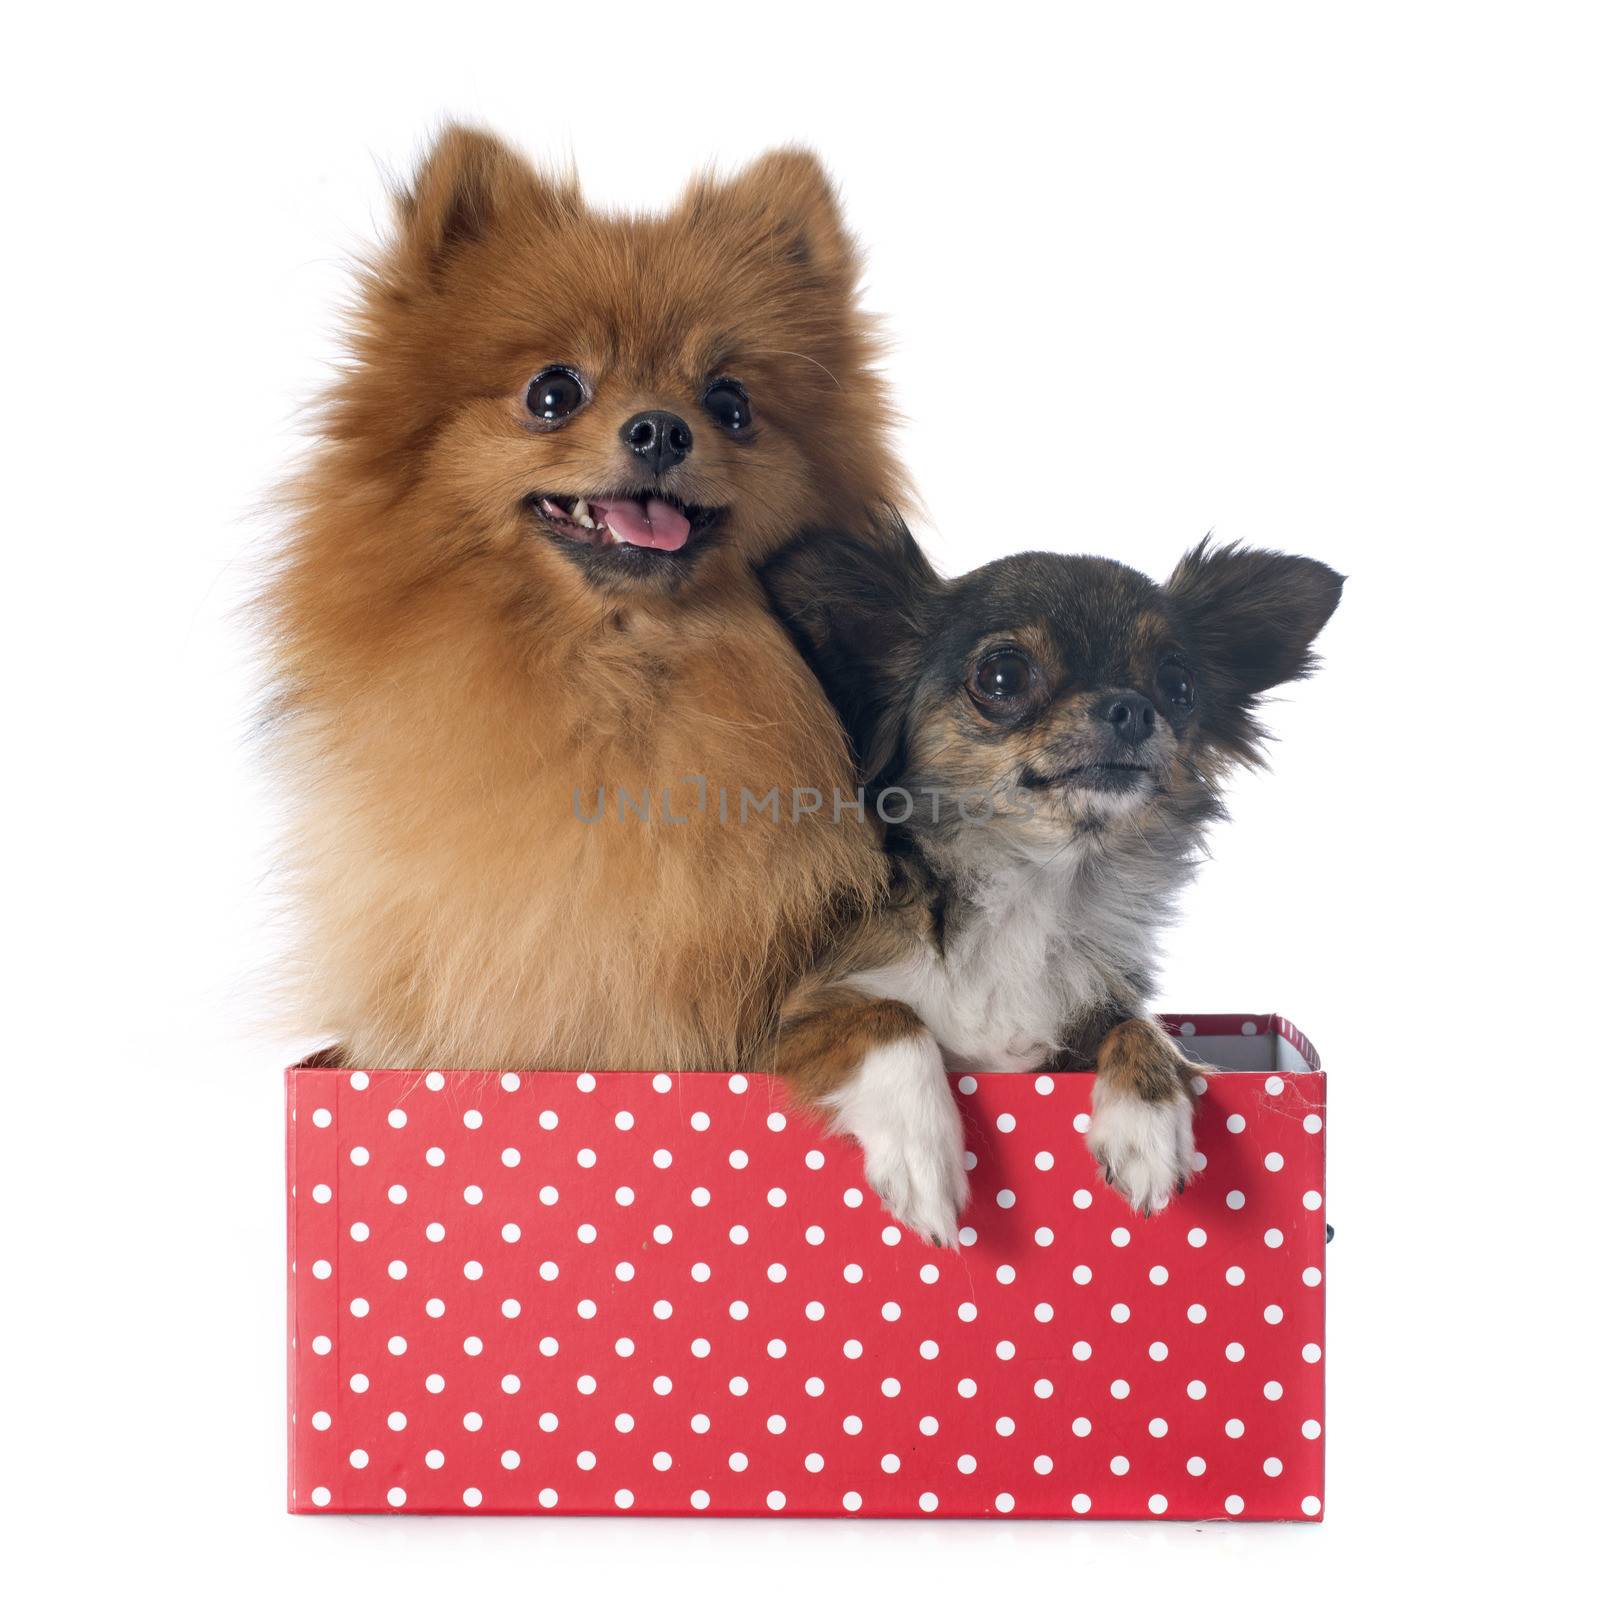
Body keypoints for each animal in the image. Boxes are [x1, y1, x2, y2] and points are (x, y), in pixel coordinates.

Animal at [761, 518, 1337, 1241]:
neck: (1035, 879)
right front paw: (921, 1150)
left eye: (1178, 684)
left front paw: (1147, 1122)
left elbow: (1142, 1026)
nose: (1131, 708)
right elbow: (886, 1015)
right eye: (1002, 675)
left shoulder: (1084, 1025)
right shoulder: (781, 1030)